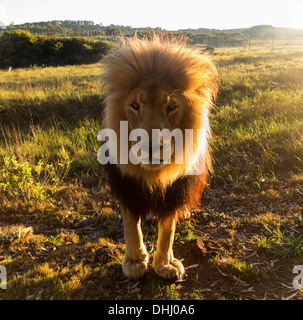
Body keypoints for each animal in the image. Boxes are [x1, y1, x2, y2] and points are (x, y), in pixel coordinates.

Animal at [101, 35, 217, 280]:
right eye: (135, 106)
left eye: (171, 107)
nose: (151, 147)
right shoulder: (126, 184)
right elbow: (130, 225)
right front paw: (135, 261)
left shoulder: (176, 188)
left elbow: (168, 229)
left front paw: (165, 264)